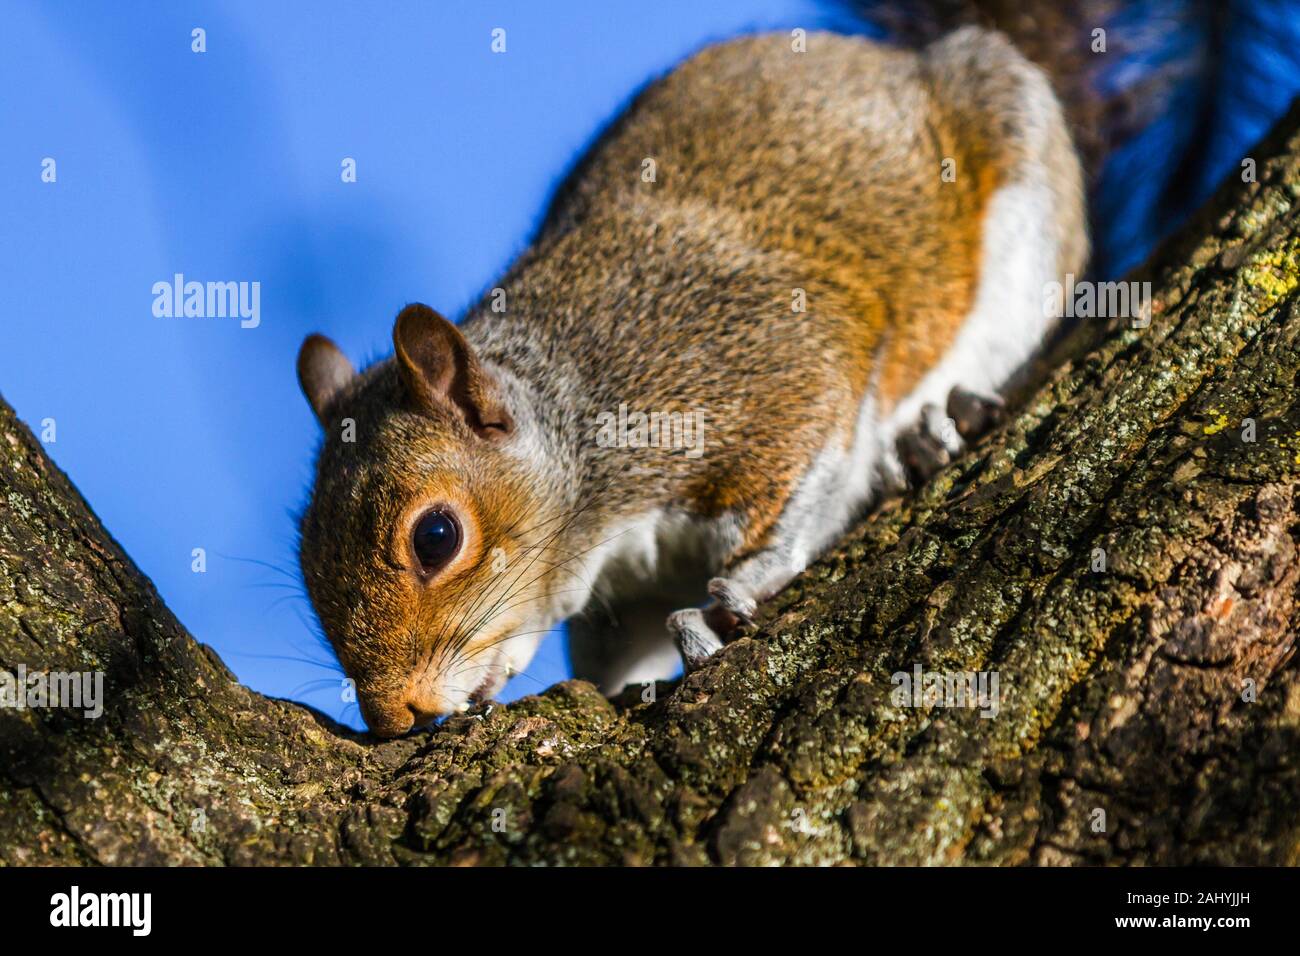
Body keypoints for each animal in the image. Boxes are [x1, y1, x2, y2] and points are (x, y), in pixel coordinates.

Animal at [292, 2, 1260, 737]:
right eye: (302, 561)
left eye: (436, 536)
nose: (392, 718)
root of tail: (894, 62)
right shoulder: (618, 600)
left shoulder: (759, 374)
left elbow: (803, 473)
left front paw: (738, 588)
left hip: (1017, 187)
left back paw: (933, 421)